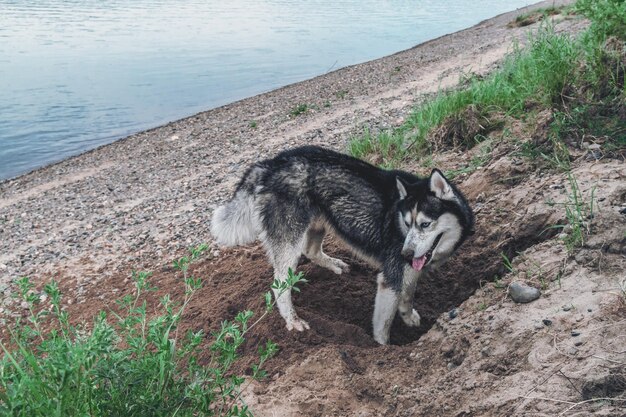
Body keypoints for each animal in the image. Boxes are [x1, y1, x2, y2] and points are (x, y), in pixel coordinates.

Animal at [211, 145, 472, 342]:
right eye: (407, 224)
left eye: (425, 224)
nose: (405, 253)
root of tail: (271, 163)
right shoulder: (389, 279)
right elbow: (383, 325)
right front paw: (383, 348)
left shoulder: (410, 271)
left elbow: (407, 296)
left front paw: (409, 317)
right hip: (290, 241)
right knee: (280, 285)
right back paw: (293, 320)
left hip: (319, 222)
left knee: (311, 250)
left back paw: (334, 265)